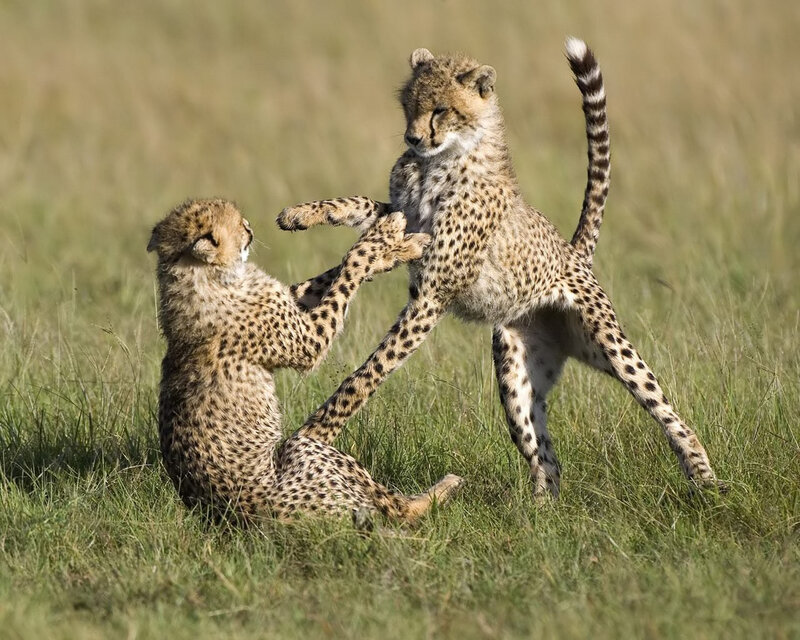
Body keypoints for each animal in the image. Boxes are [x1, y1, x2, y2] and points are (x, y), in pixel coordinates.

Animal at [148, 198, 463, 524]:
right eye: (236, 225)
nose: (249, 227)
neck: (199, 277)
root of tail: (238, 516)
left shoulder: (290, 300)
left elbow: (327, 275)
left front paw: (396, 247)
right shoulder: (309, 340)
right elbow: (352, 263)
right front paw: (384, 236)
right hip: (307, 450)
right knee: (398, 509)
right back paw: (446, 487)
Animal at [276, 38, 725, 499]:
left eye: (440, 109)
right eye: (408, 105)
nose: (412, 137)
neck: (440, 159)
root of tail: (572, 252)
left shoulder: (434, 291)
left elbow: (368, 372)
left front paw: (314, 433)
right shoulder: (406, 221)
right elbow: (361, 214)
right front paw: (302, 216)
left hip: (608, 346)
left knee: (663, 407)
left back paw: (705, 480)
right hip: (516, 376)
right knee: (545, 457)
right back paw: (539, 512)